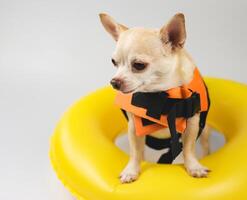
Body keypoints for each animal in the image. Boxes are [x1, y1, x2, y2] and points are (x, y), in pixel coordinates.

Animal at [98, 13, 210, 184]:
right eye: (114, 62)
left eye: (139, 65)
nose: (114, 82)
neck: (160, 94)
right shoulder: (134, 128)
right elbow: (135, 152)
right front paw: (131, 170)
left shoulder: (192, 124)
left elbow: (189, 148)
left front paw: (194, 166)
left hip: (204, 130)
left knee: (205, 144)